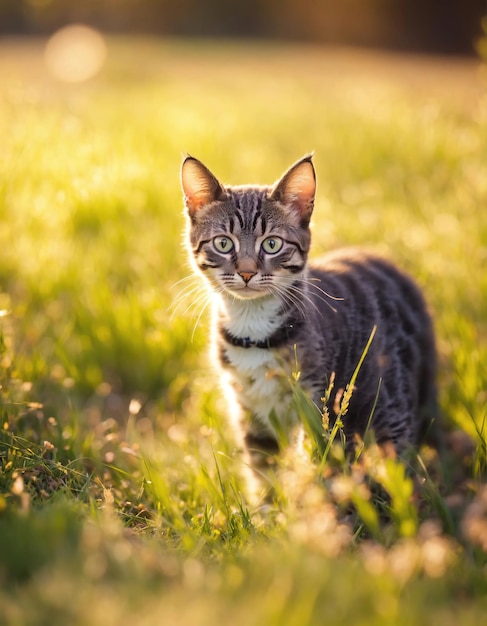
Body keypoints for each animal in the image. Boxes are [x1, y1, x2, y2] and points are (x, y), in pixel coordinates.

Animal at [180, 152, 438, 492]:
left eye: (272, 244)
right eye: (223, 244)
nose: (246, 272)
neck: (253, 332)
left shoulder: (317, 397)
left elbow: (314, 457)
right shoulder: (247, 405)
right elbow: (263, 467)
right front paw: (268, 506)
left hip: (388, 405)